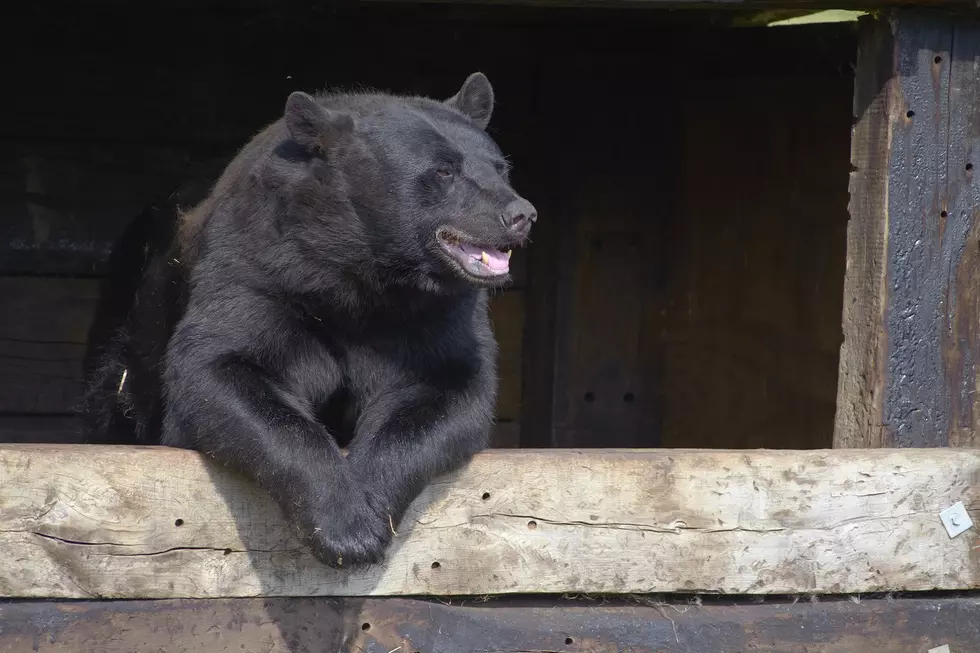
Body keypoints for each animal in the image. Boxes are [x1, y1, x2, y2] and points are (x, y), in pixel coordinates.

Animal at [79, 72, 536, 568]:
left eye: (501, 167)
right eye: (444, 171)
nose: (521, 214)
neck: (360, 277)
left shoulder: (438, 316)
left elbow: (450, 390)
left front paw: (370, 507)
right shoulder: (259, 273)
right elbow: (219, 370)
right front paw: (343, 526)